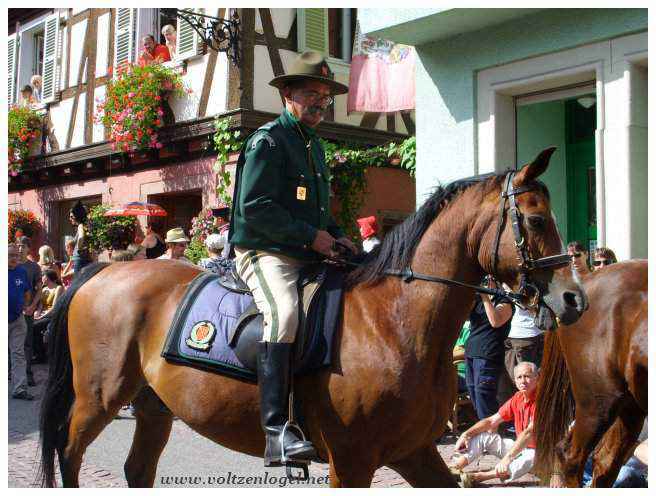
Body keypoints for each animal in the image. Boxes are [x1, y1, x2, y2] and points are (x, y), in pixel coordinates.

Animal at [38, 148, 588, 488]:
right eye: (536, 219)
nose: (573, 299)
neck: (396, 321)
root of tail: (99, 272)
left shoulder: (413, 451)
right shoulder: (353, 460)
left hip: (153, 407)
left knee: (136, 470)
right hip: (99, 398)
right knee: (69, 452)